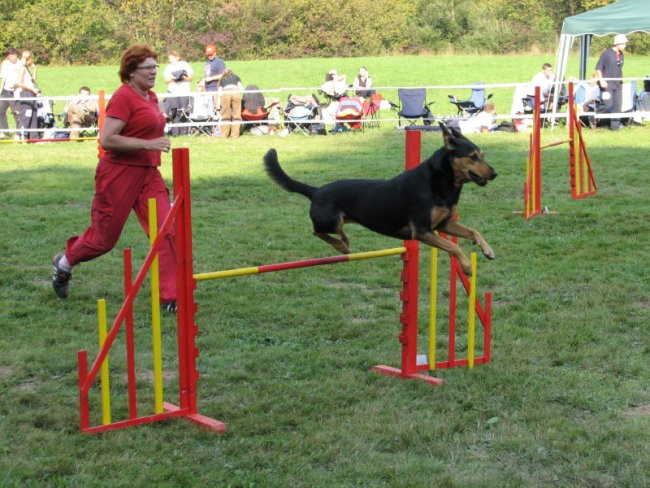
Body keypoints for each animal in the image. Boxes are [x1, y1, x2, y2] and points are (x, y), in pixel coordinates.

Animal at [264, 122, 496, 274]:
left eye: (483, 156)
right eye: (472, 157)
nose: (494, 174)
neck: (440, 183)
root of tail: (316, 190)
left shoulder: (444, 225)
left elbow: (474, 231)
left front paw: (488, 250)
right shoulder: (422, 231)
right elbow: (454, 247)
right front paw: (467, 266)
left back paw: (343, 242)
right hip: (330, 219)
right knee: (318, 231)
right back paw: (342, 245)